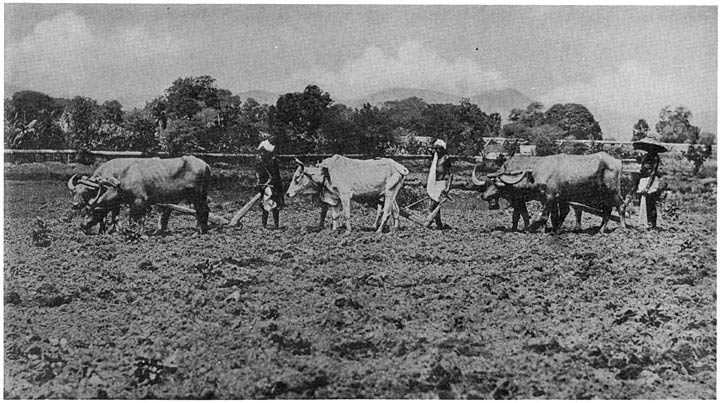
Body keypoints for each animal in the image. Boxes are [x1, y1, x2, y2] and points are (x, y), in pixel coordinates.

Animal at [68, 156, 211, 234]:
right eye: (74, 192)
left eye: (94, 211)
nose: (83, 225)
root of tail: (205, 165)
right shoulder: (127, 203)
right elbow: (121, 218)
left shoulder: (139, 202)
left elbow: (136, 219)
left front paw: (133, 233)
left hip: (198, 196)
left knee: (202, 210)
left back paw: (199, 231)